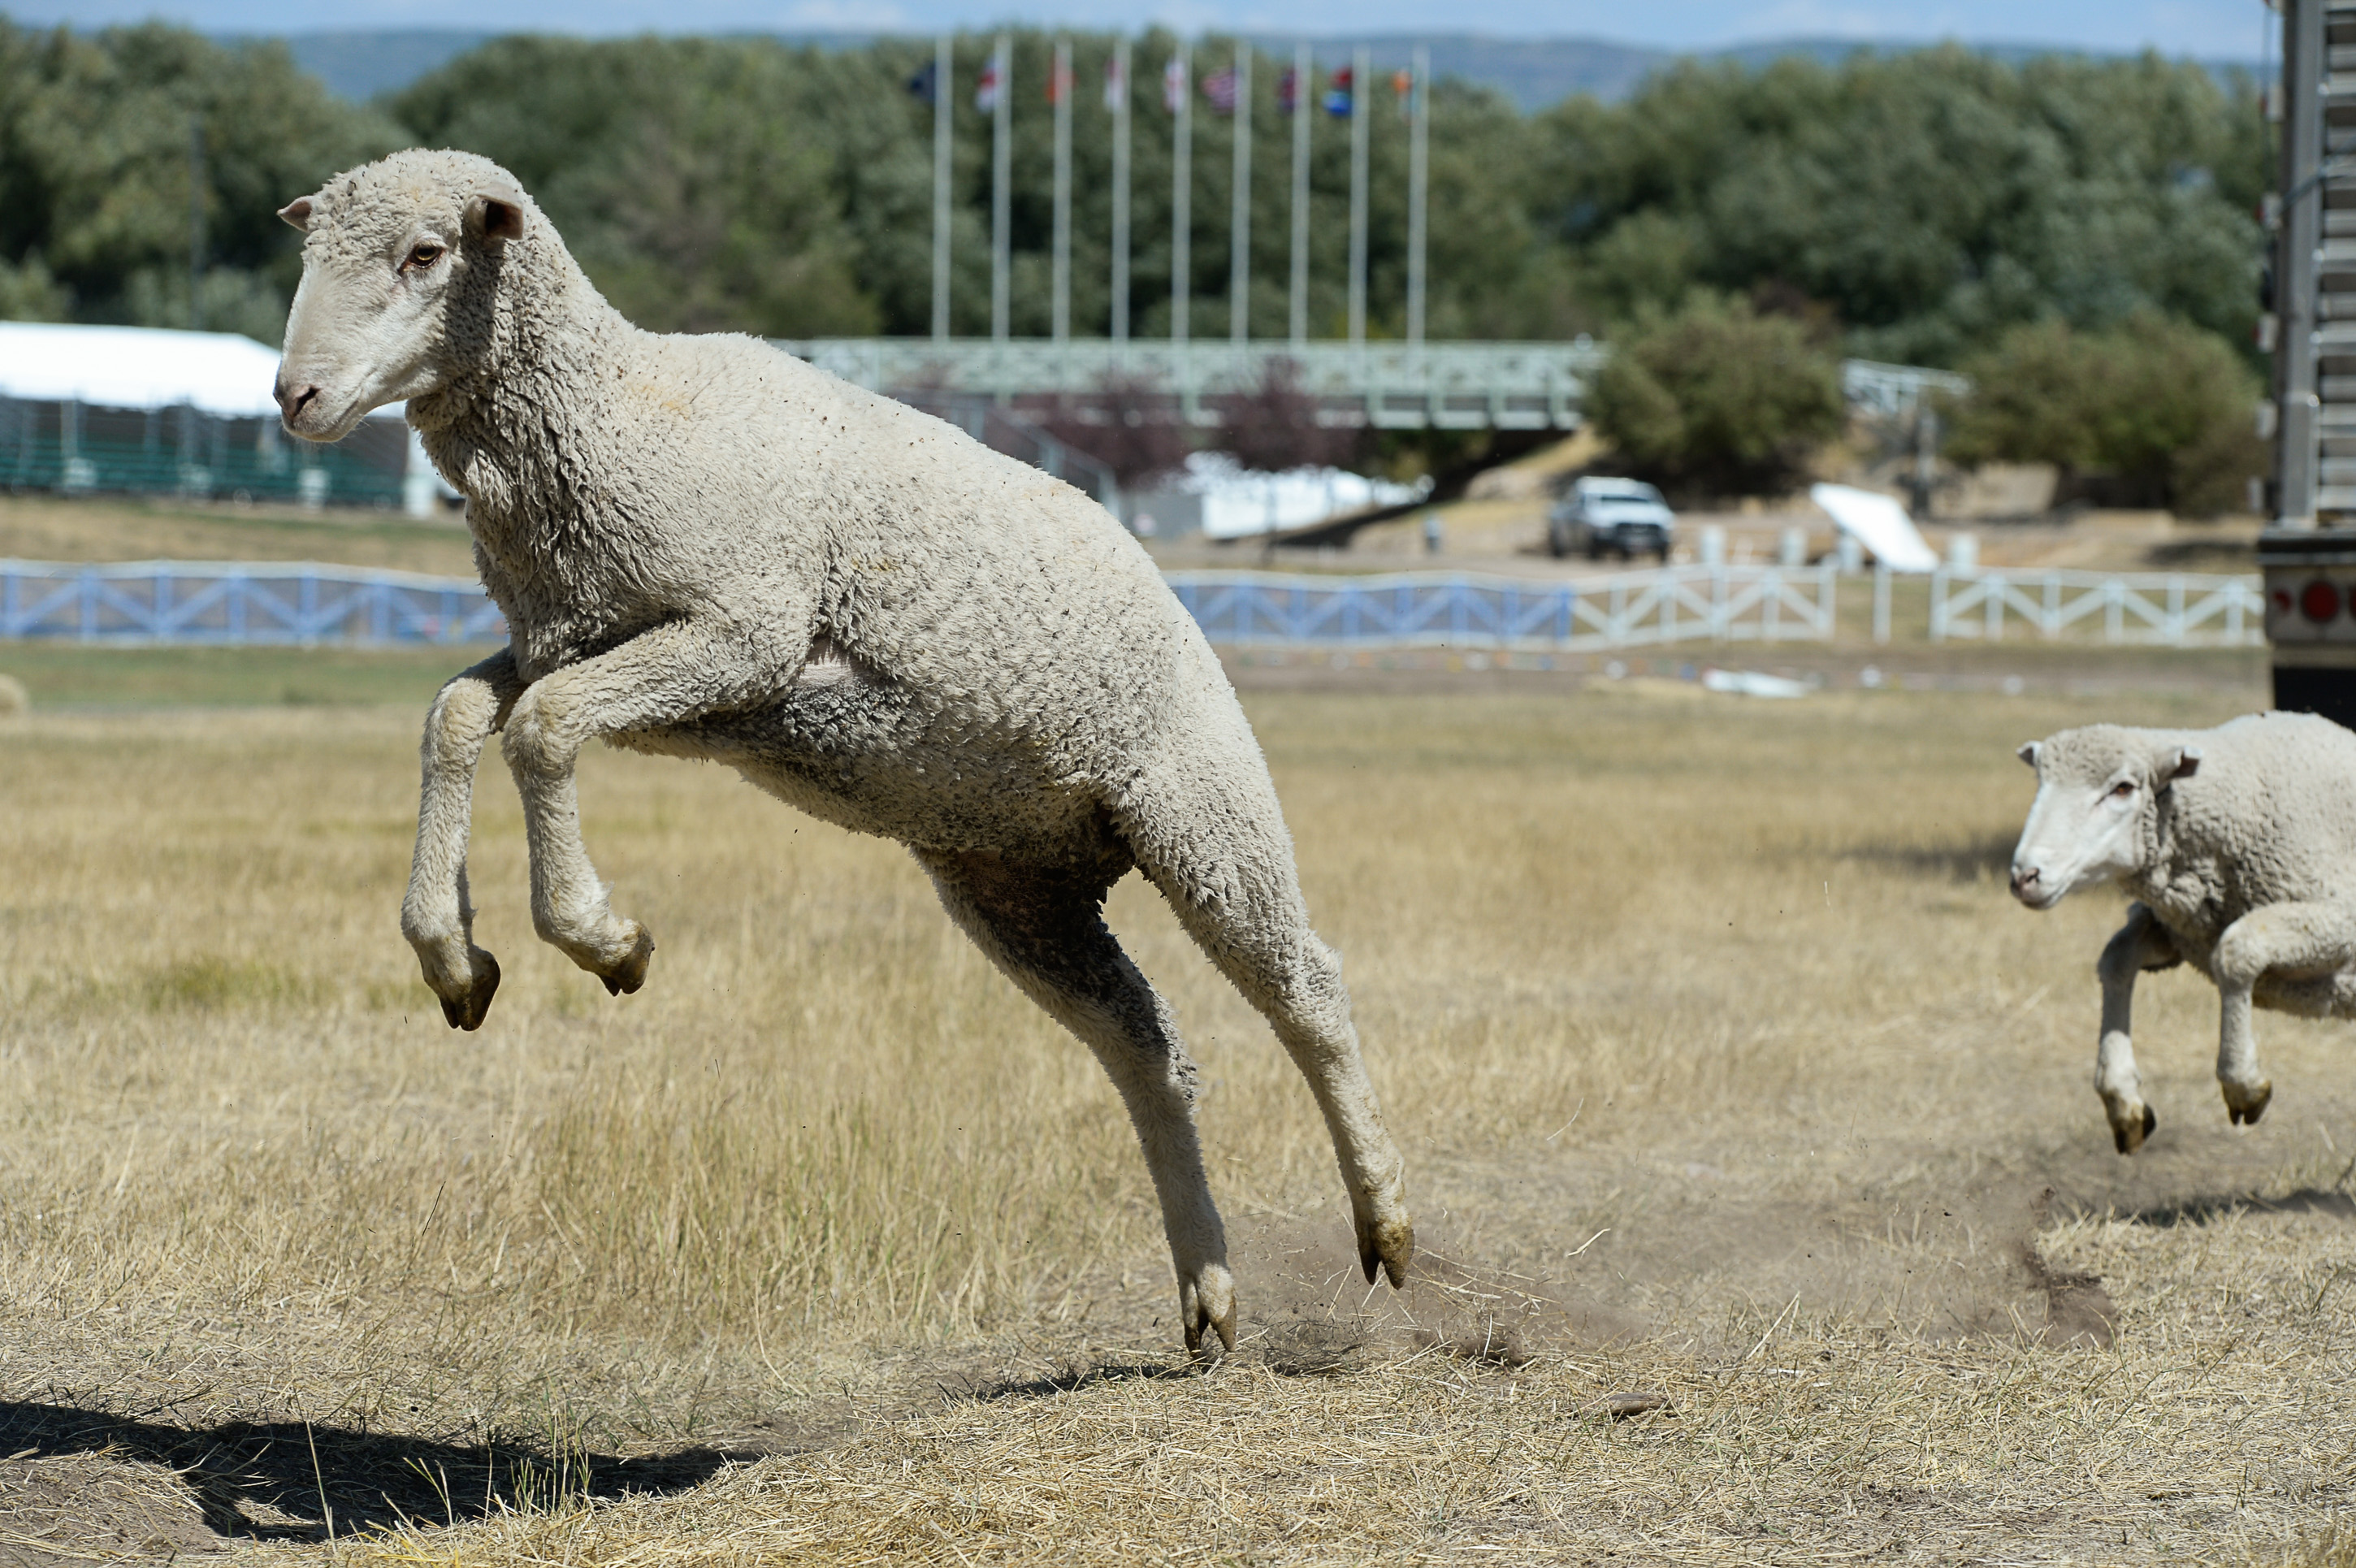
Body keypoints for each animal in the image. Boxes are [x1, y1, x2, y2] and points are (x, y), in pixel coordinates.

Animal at [269, 149, 1412, 1352]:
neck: (616, 403)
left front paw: (603, 938)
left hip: (1199, 805)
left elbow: (540, 730)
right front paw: (450, 953)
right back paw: (1207, 1287)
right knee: (1146, 1050)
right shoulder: (568, 637)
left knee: (1306, 992)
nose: (295, 397)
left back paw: (1383, 1220)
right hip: (1015, 884)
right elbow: (455, 715)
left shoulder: (742, 634)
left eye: (425, 253)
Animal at [2009, 711, 2356, 1153]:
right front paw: (2122, 1098)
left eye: (2123, 788)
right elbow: (2117, 958)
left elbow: (2237, 950)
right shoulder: (2177, 930)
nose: (2025, 876)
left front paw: (2243, 1083)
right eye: (2040, 783)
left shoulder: (2339, 920)